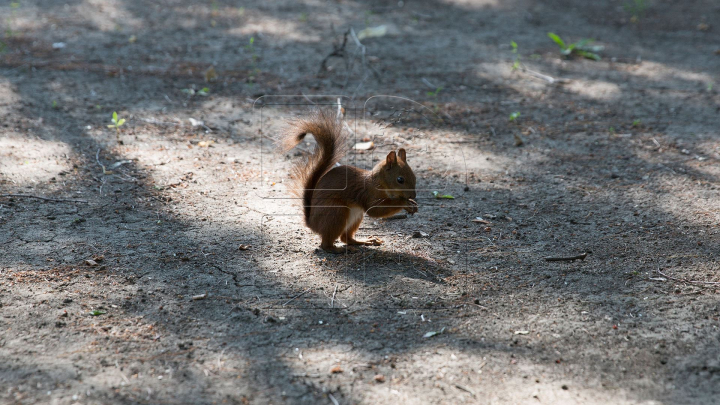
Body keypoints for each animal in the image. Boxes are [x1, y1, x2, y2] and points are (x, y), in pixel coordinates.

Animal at [280, 110, 416, 252]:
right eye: (400, 179)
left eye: (414, 176)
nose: (413, 195)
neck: (380, 183)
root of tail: (312, 223)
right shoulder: (368, 194)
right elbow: (375, 210)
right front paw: (405, 203)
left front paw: (411, 205)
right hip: (336, 212)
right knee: (326, 244)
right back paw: (337, 249)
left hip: (356, 216)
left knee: (346, 238)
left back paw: (365, 241)